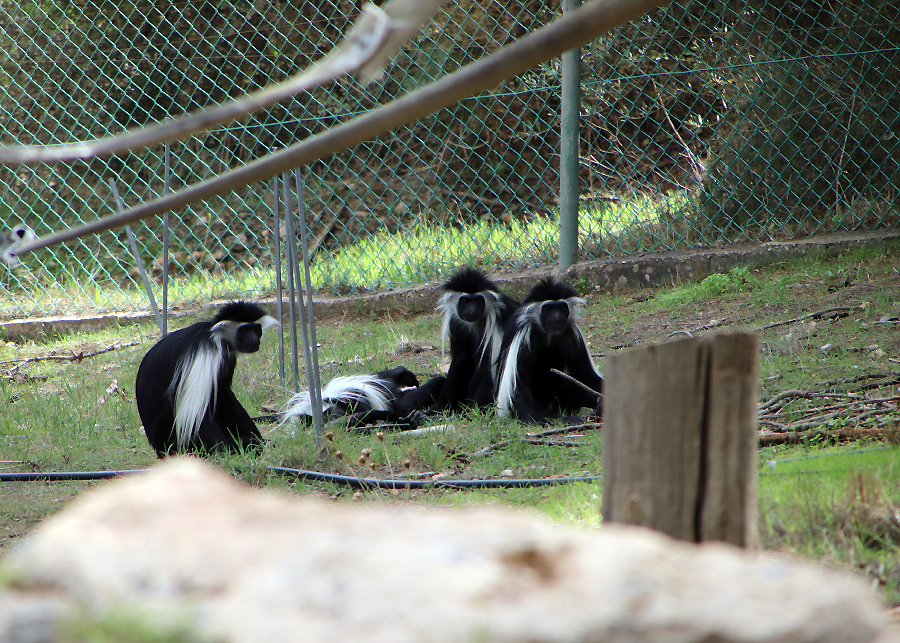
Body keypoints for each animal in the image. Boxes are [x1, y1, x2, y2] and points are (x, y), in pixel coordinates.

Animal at [135, 302, 278, 458]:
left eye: (256, 329)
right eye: (244, 330)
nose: (254, 340)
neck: (216, 336)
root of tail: (158, 448)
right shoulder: (206, 352)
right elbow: (196, 414)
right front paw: (223, 453)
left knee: (222, 395)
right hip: (168, 435)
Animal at [428, 266, 520, 412]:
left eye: (478, 300)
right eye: (465, 301)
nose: (471, 311)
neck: (476, 324)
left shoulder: (498, 321)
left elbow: (490, 368)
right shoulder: (456, 324)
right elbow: (458, 357)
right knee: (462, 360)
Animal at [492, 280, 604, 426]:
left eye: (561, 307)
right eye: (548, 308)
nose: (556, 317)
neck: (549, 334)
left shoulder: (572, 334)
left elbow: (587, 377)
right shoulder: (523, 337)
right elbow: (518, 388)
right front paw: (547, 419)